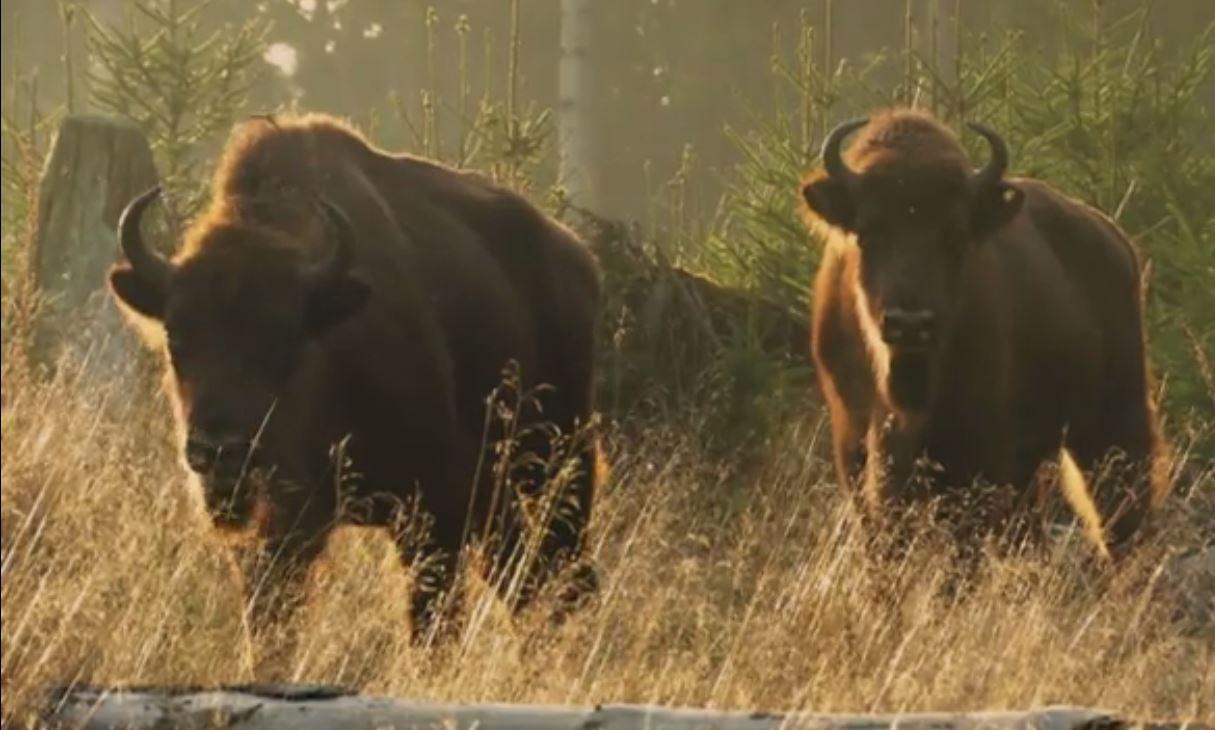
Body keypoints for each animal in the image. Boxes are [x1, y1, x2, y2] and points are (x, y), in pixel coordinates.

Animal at [109, 112, 602, 636]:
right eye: (175, 339)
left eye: (286, 341)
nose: (221, 451)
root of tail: (577, 258)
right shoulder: (280, 533)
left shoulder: (434, 512)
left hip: (559, 459)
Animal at [801, 106, 1161, 551]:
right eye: (867, 234)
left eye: (955, 236)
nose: (910, 324)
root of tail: (1114, 238)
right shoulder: (855, 443)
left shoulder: (979, 454)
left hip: (1111, 422)